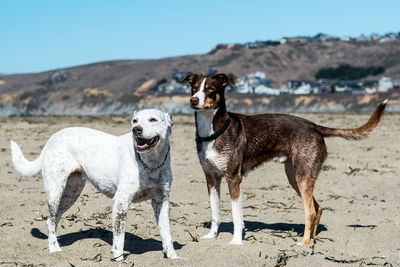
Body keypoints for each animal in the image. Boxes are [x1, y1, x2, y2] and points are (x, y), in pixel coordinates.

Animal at [9, 109, 178, 262]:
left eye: (153, 120)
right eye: (134, 120)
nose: (136, 129)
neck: (151, 163)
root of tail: (52, 138)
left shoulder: (162, 201)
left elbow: (167, 233)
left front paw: (173, 256)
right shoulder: (121, 202)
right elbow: (119, 237)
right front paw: (118, 258)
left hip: (72, 192)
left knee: (54, 219)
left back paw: (55, 242)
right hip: (55, 190)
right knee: (50, 219)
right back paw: (53, 248)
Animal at [184, 73, 388, 247]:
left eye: (211, 89)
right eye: (194, 88)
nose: (193, 100)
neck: (213, 132)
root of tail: (315, 126)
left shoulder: (234, 178)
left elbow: (236, 215)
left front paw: (236, 241)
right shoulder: (211, 178)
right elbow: (215, 212)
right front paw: (212, 236)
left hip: (302, 176)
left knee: (310, 210)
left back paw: (304, 242)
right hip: (295, 177)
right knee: (318, 207)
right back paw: (312, 238)